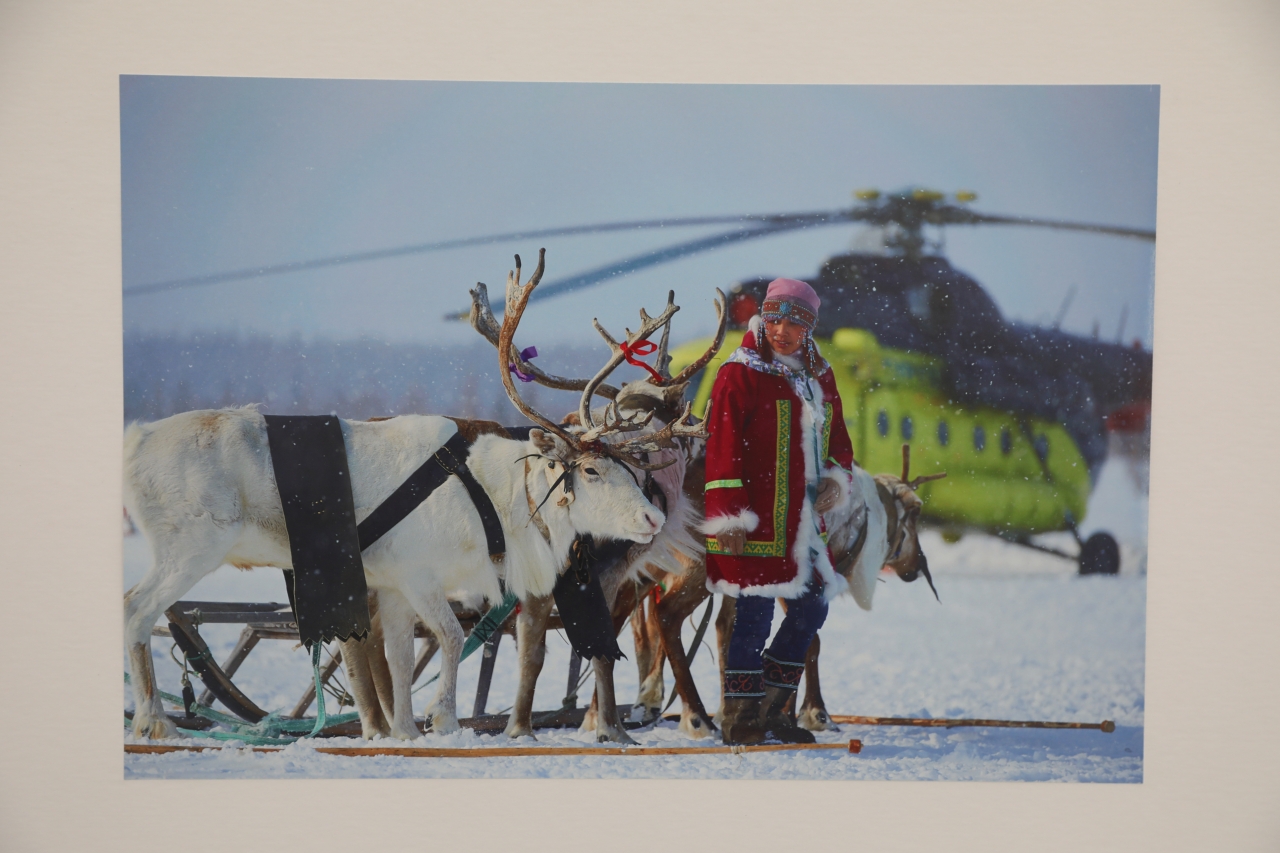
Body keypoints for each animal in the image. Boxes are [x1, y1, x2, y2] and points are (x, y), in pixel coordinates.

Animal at [122, 249, 701, 742]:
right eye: (592, 470)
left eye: (628, 466)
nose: (652, 518)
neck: (499, 498)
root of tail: (135, 443)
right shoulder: (420, 574)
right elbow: (448, 636)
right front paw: (442, 717)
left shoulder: (392, 585)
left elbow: (398, 659)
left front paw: (402, 731)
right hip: (190, 548)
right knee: (136, 608)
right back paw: (155, 722)